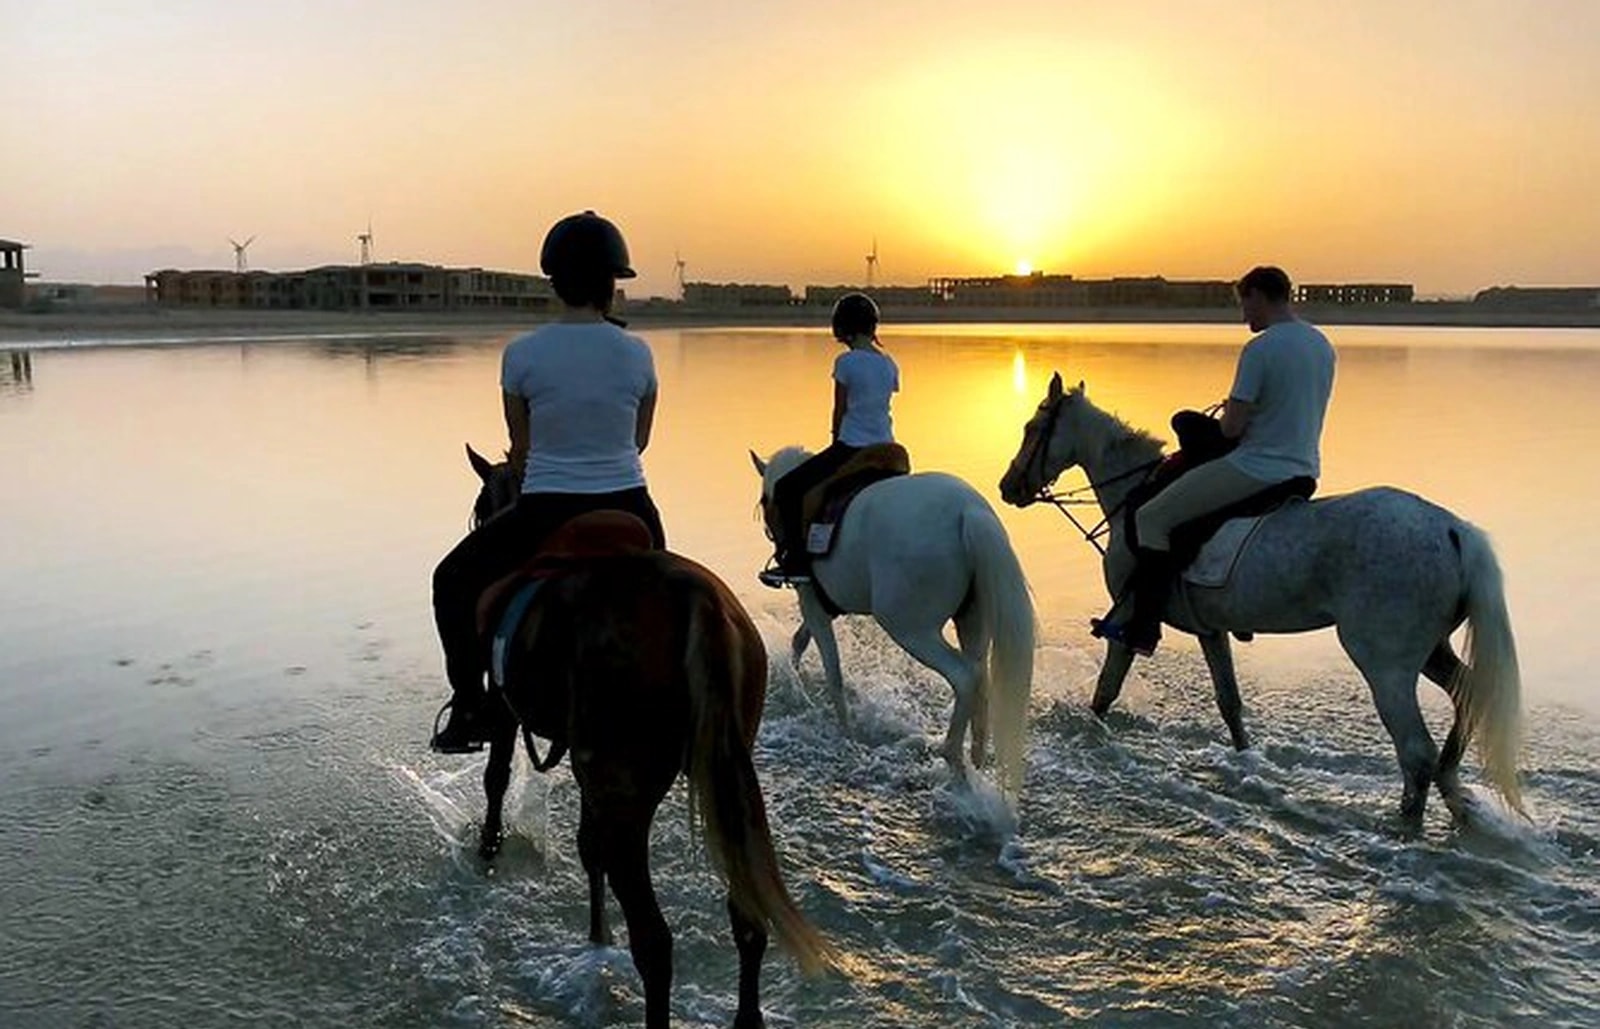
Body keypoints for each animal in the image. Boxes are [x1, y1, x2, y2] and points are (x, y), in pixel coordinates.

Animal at [463, 446, 831, 1029]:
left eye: (481, 507)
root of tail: (695, 601)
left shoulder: (505, 710)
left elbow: (498, 777)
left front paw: (490, 843)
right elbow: (586, 844)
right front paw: (597, 935)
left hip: (626, 787)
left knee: (655, 941)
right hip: (721, 773)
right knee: (745, 915)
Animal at [750, 447, 1036, 800]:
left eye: (766, 501)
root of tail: (967, 512)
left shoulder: (812, 602)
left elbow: (833, 672)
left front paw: (844, 731)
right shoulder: (822, 605)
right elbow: (801, 640)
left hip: (910, 628)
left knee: (965, 677)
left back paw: (952, 757)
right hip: (972, 620)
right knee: (979, 672)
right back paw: (977, 755)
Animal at [998, 374, 1525, 824]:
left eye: (1031, 428)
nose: (1008, 487)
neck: (1135, 494)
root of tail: (1454, 531)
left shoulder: (1128, 620)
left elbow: (1105, 693)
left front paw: (1090, 735)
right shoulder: (1211, 630)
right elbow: (1230, 704)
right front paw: (1245, 760)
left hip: (1386, 665)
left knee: (1415, 754)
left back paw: (1407, 828)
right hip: (1431, 650)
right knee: (1469, 695)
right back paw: (1454, 791)